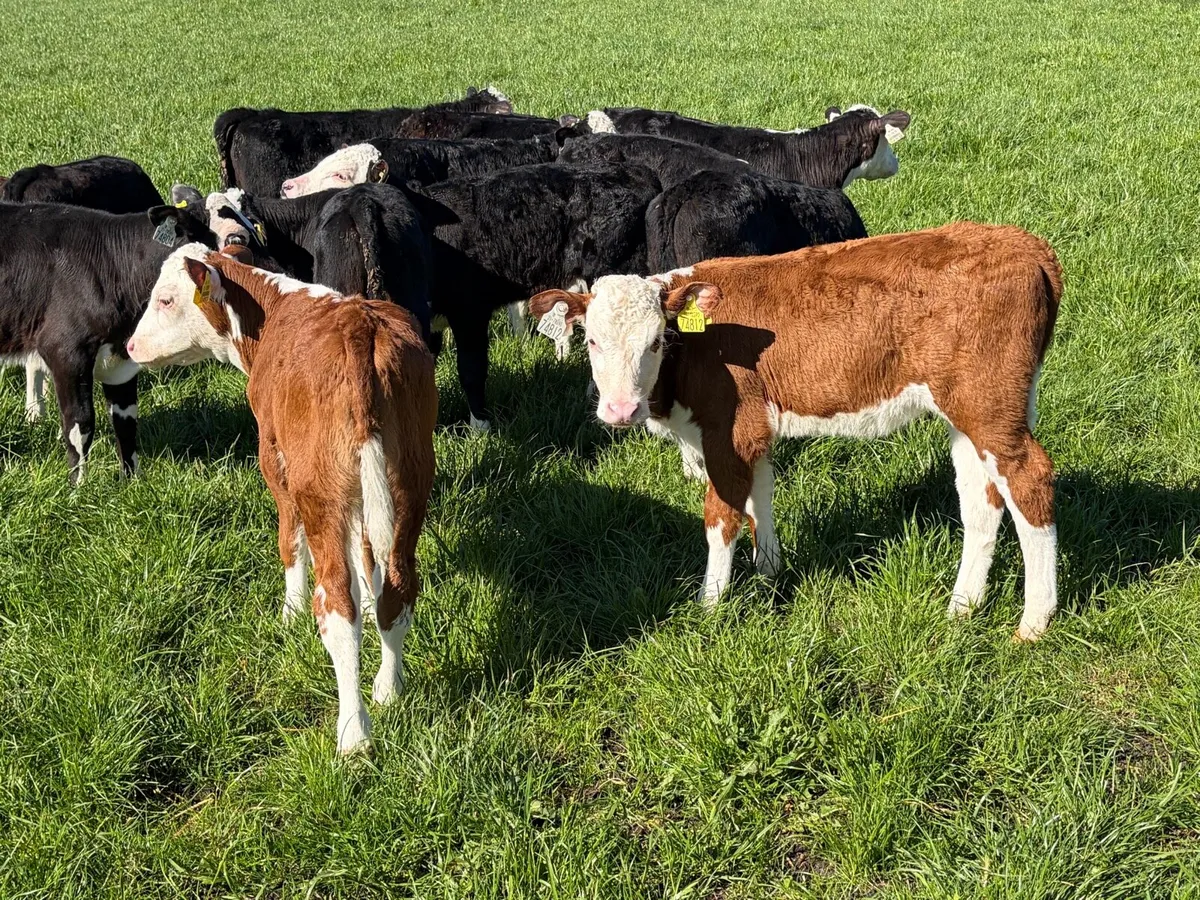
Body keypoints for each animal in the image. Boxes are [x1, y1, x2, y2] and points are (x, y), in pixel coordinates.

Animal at [0, 195, 216, 483]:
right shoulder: (65, 351)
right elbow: (80, 423)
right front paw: (78, 485)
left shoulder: (121, 362)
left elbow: (126, 421)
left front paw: (131, 480)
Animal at [126, 245, 437, 756]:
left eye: (166, 299)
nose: (131, 347)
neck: (272, 313)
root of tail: (359, 324)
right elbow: (366, 558)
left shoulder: (274, 459)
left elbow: (290, 542)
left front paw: (289, 614)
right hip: (408, 478)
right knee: (397, 587)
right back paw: (388, 688)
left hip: (318, 488)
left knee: (336, 605)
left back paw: (353, 733)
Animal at [528, 222, 1063, 642]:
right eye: (592, 341)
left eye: (657, 340)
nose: (621, 410)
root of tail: (1022, 243)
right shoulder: (755, 428)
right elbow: (759, 497)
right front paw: (769, 571)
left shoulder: (729, 431)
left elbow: (721, 515)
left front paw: (710, 605)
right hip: (971, 416)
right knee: (981, 502)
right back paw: (962, 607)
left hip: (989, 406)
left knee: (1029, 480)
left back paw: (1034, 622)